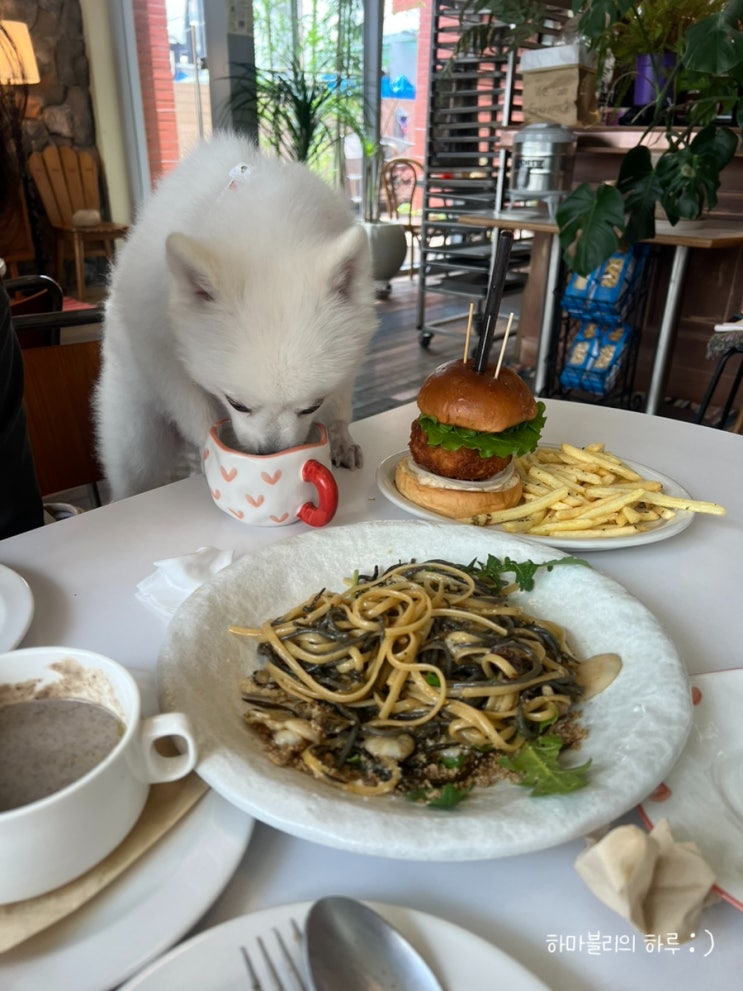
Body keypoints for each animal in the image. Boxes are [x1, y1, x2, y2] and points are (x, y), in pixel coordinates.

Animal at [94, 133, 376, 501]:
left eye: (311, 407)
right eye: (237, 404)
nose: (270, 453)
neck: (269, 233)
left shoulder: (347, 361)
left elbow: (340, 401)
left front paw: (341, 438)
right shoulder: (164, 356)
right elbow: (195, 411)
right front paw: (212, 455)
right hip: (138, 441)